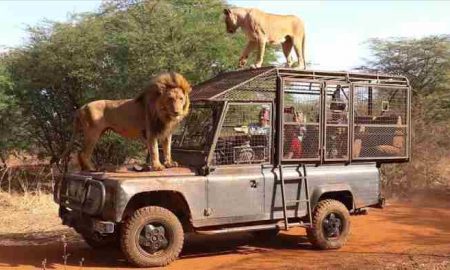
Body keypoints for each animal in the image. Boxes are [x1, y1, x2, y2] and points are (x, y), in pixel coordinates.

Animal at [62, 70, 192, 170]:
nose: (177, 112)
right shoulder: (151, 131)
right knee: (83, 153)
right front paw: (157, 166)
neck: (165, 115)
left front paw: (169, 163)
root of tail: (82, 107)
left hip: (98, 132)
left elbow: (167, 148)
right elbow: (155, 149)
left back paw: (86, 168)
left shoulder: (167, 132)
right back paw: (91, 169)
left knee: (81, 153)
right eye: (170, 99)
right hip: (92, 132)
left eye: (181, 99)